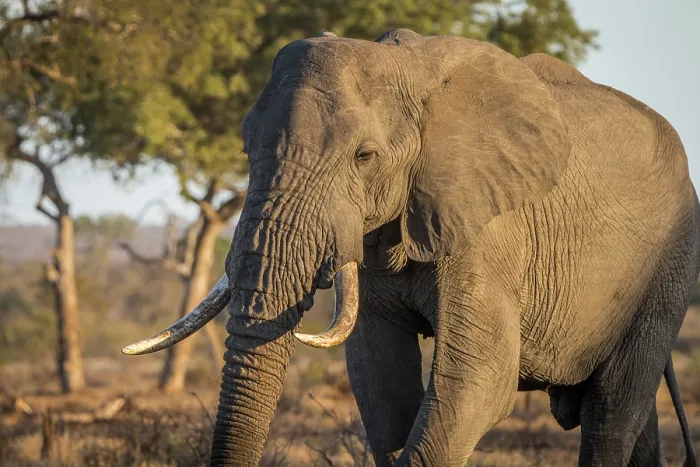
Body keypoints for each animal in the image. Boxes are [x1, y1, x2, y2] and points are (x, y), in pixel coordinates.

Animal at [122, 28, 699, 467]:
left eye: (364, 156)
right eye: (245, 148)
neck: (409, 68)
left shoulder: (487, 227)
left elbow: (479, 381)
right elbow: (377, 370)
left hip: (671, 264)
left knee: (612, 412)